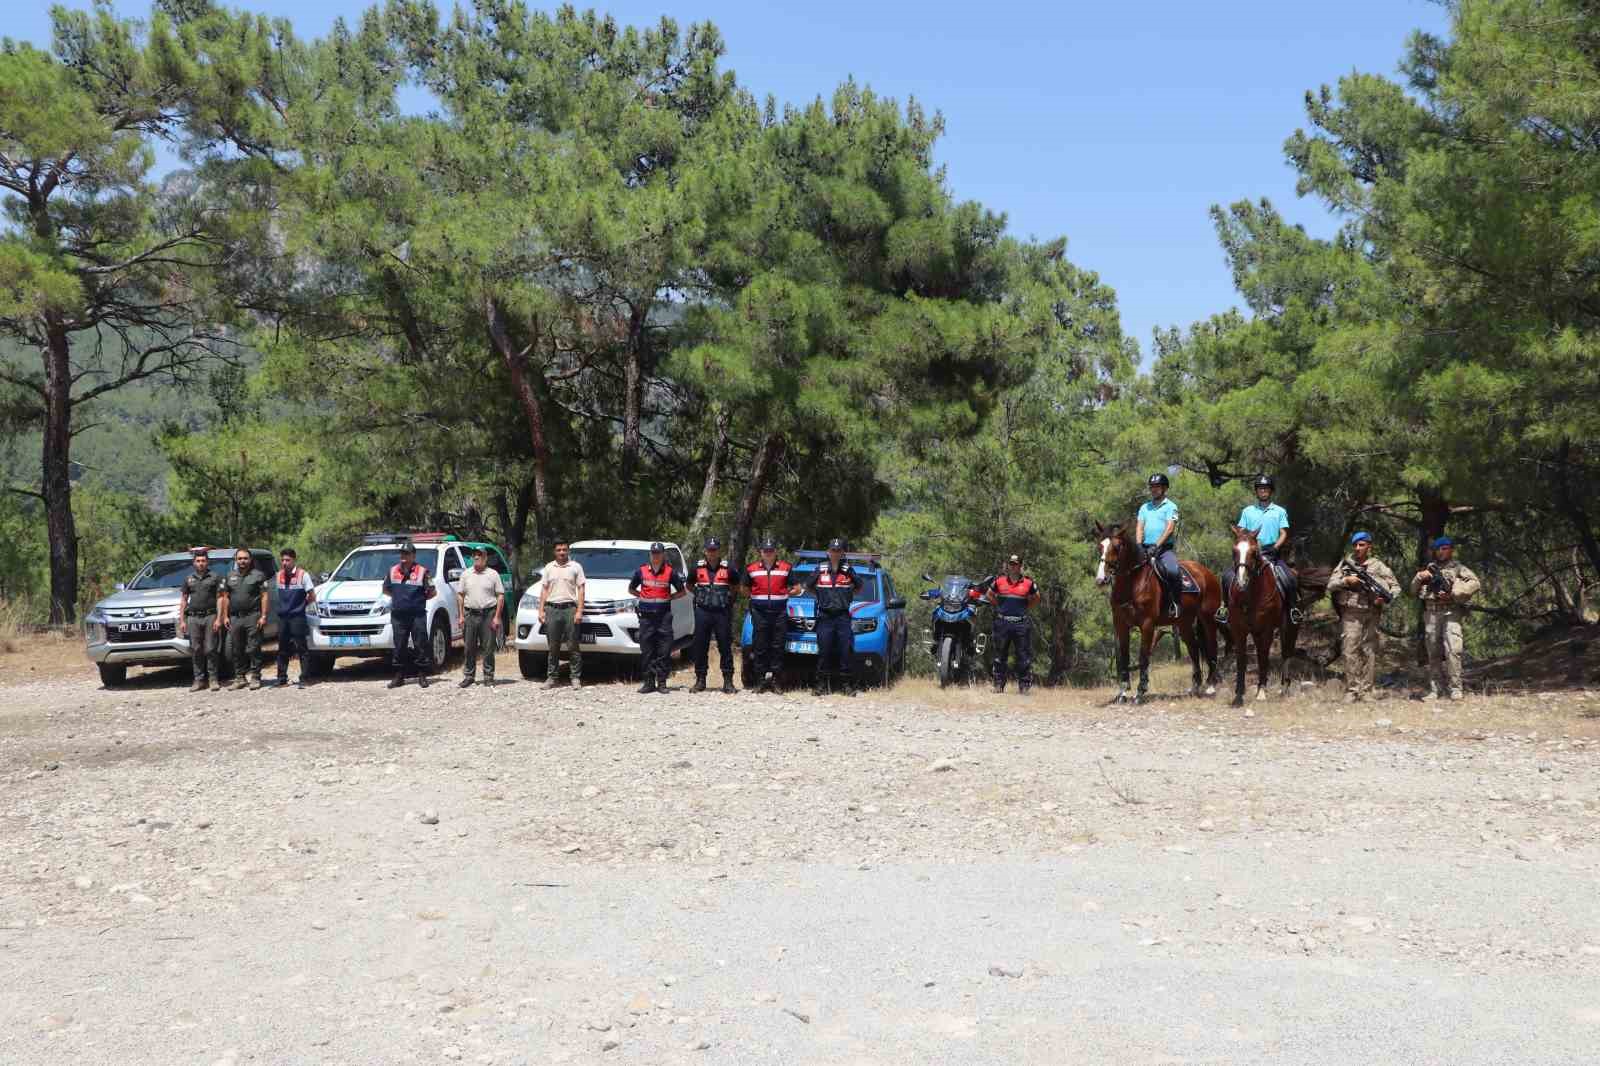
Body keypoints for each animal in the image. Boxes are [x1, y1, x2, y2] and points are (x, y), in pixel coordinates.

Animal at [1094, 521, 1216, 701]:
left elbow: (1143, 656)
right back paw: (1195, 686)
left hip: (1208, 619)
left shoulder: (1147, 625)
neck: (1132, 584)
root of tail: (1207, 573)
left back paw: (1212, 686)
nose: (1101, 579)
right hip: (1184, 623)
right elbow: (1124, 656)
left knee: (1211, 645)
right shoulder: (1121, 625)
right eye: (1100, 546)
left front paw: (1140, 692)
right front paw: (1122, 692)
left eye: (1117, 546)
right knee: (1194, 648)